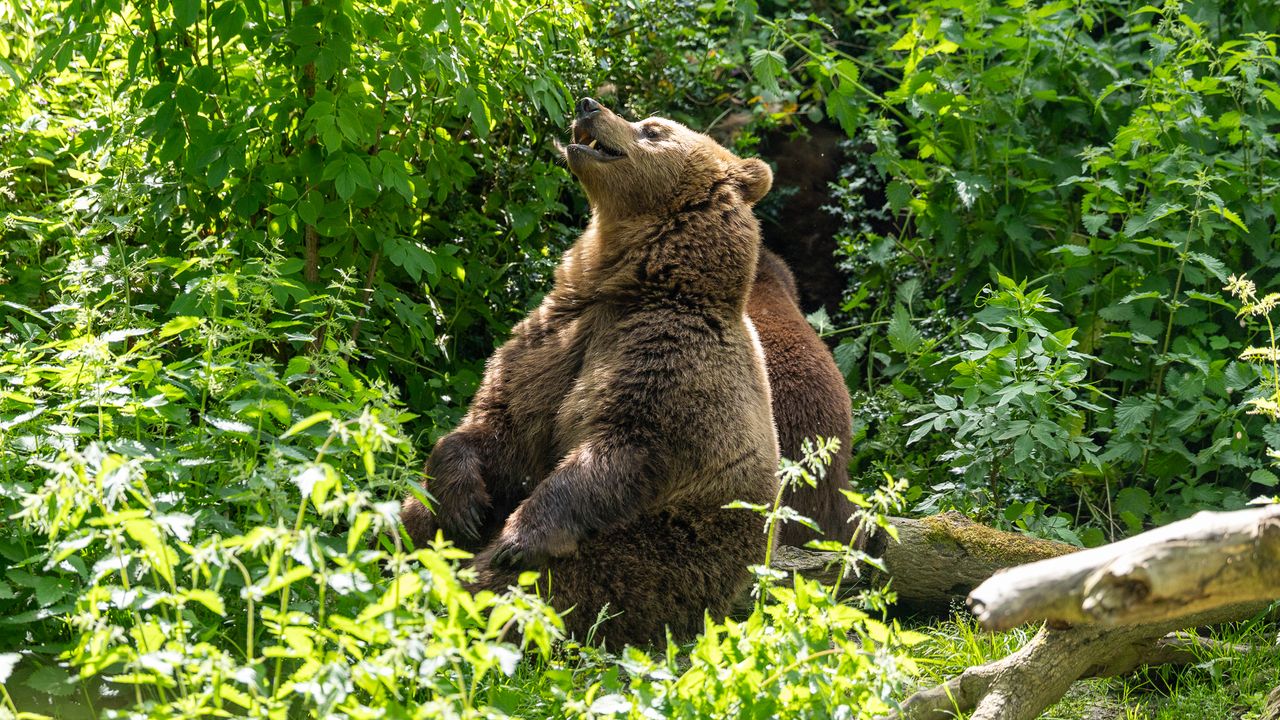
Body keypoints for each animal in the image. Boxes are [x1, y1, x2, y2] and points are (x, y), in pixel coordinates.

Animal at [401, 97, 779, 647]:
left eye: (653, 129)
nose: (588, 104)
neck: (628, 284)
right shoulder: (553, 339)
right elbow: (499, 422)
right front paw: (463, 506)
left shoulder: (667, 359)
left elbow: (616, 450)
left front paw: (516, 539)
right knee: (410, 513)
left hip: (658, 554)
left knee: (547, 586)